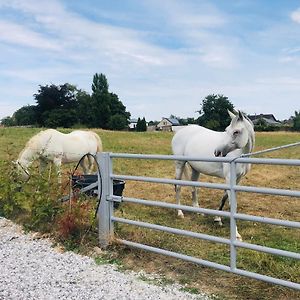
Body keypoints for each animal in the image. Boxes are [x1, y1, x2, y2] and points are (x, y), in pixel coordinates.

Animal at [172, 111, 254, 240]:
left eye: (236, 132)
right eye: (226, 130)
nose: (217, 152)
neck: (239, 154)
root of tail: (180, 131)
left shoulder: (237, 179)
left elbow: (224, 198)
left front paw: (217, 219)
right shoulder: (229, 178)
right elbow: (232, 204)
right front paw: (236, 235)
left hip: (195, 168)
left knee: (193, 187)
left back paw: (197, 210)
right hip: (180, 164)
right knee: (178, 187)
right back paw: (180, 212)